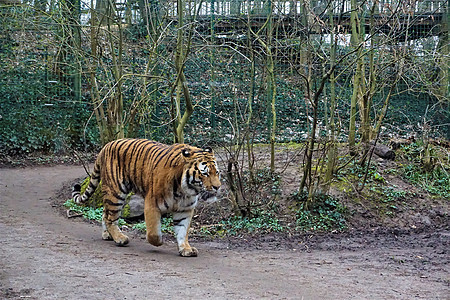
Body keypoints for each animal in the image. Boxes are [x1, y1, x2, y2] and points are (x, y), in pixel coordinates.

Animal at [70, 138, 221, 255]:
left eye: (217, 172)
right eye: (205, 173)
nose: (218, 187)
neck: (185, 190)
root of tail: (106, 146)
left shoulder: (185, 209)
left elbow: (183, 231)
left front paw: (186, 249)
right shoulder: (152, 204)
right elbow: (153, 232)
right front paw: (159, 242)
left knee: (104, 213)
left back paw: (107, 235)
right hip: (116, 192)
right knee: (110, 218)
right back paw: (120, 238)